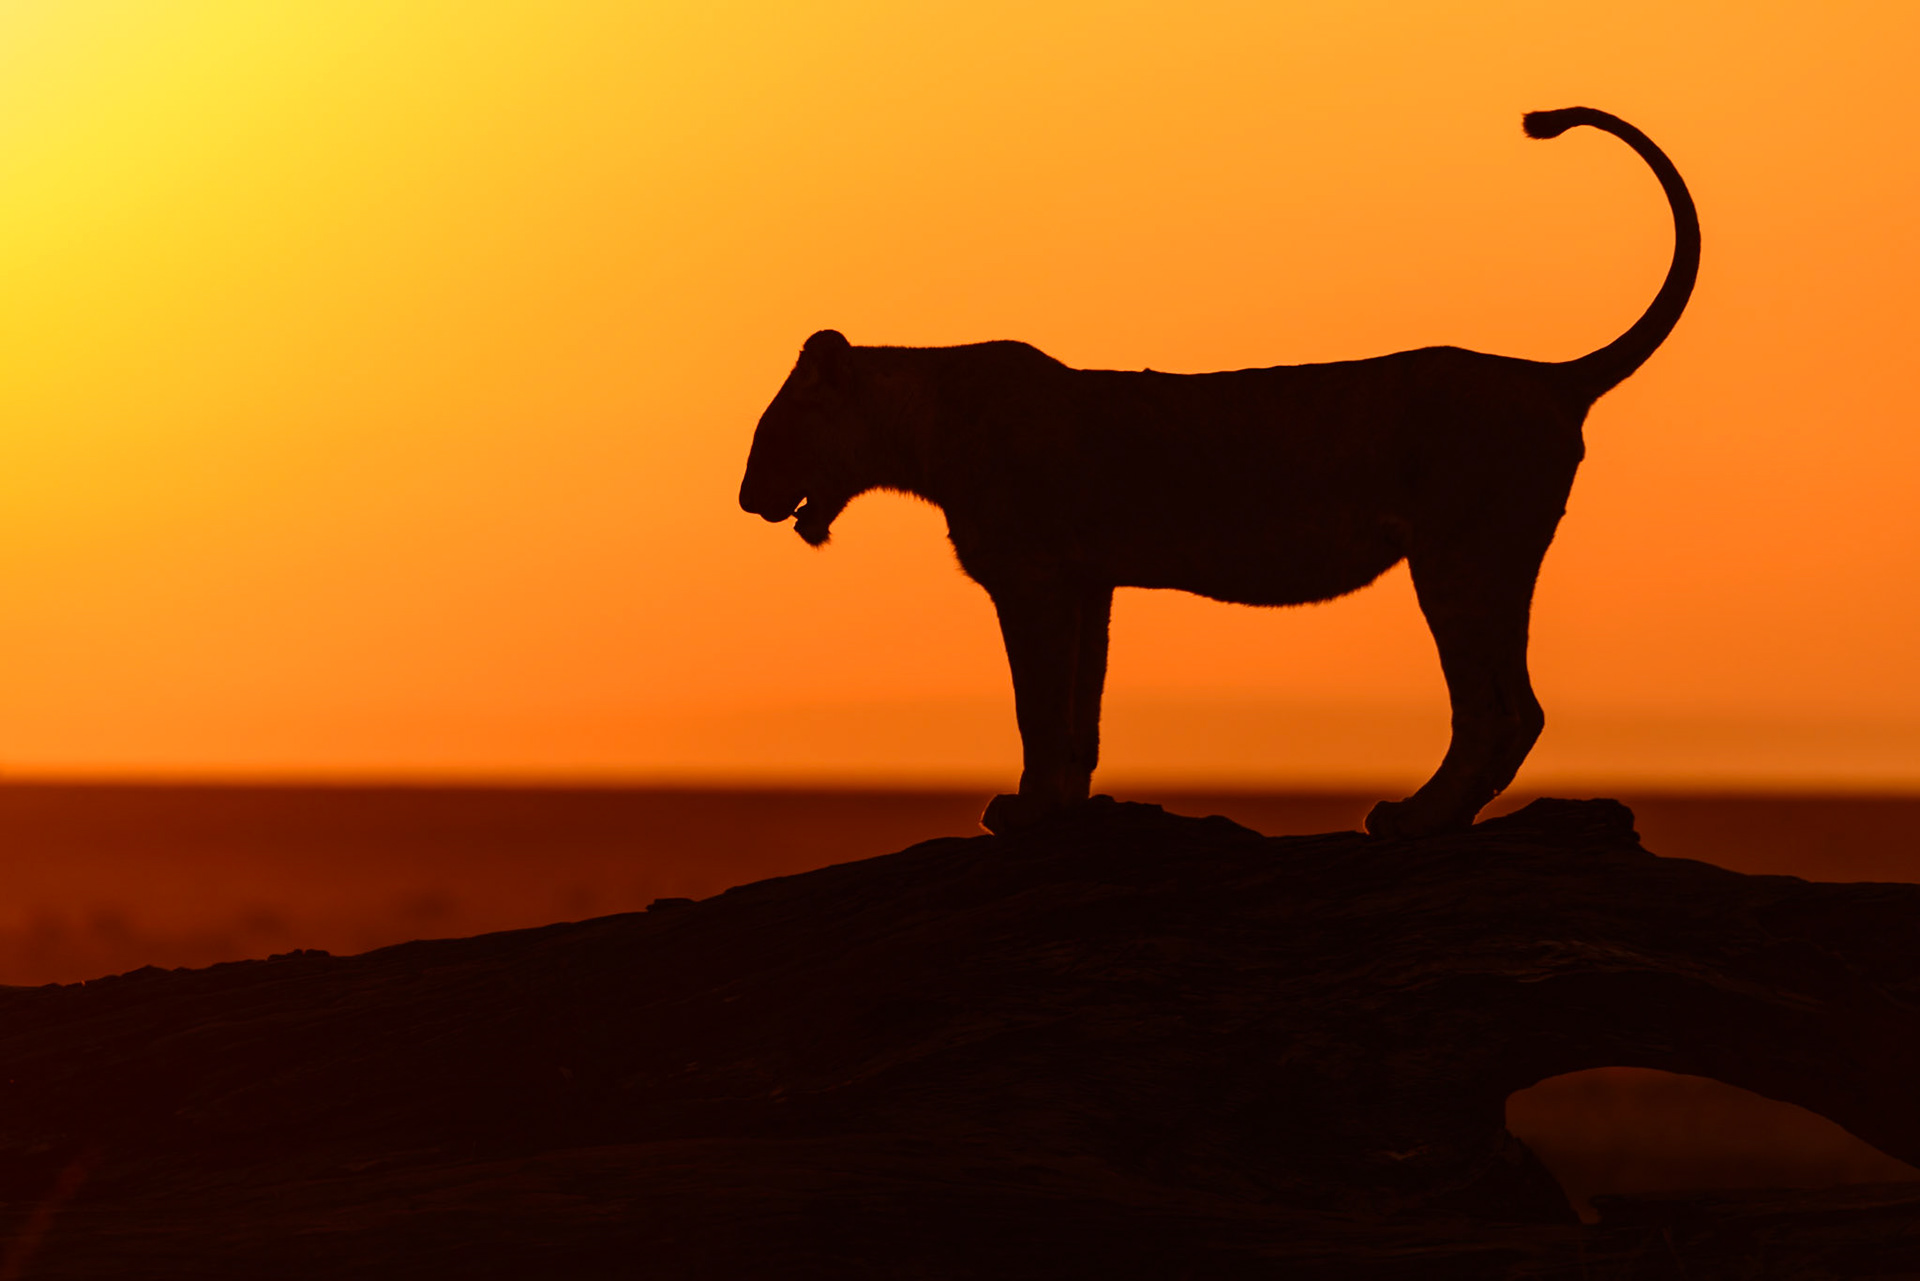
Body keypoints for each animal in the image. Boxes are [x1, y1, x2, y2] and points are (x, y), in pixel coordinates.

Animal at [739, 107, 1698, 838]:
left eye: (774, 428)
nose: (746, 498)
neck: (922, 422)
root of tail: (1548, 376)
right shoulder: (1088, 582)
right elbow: (1080, 708)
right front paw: (1068, 807)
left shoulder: (1031, 577)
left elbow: (1038, 703)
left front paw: (1026, 812)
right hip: (1481, 561)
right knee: (1511, 706)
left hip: (1461, 560)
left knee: (1498, 707)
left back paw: (1417, 819)